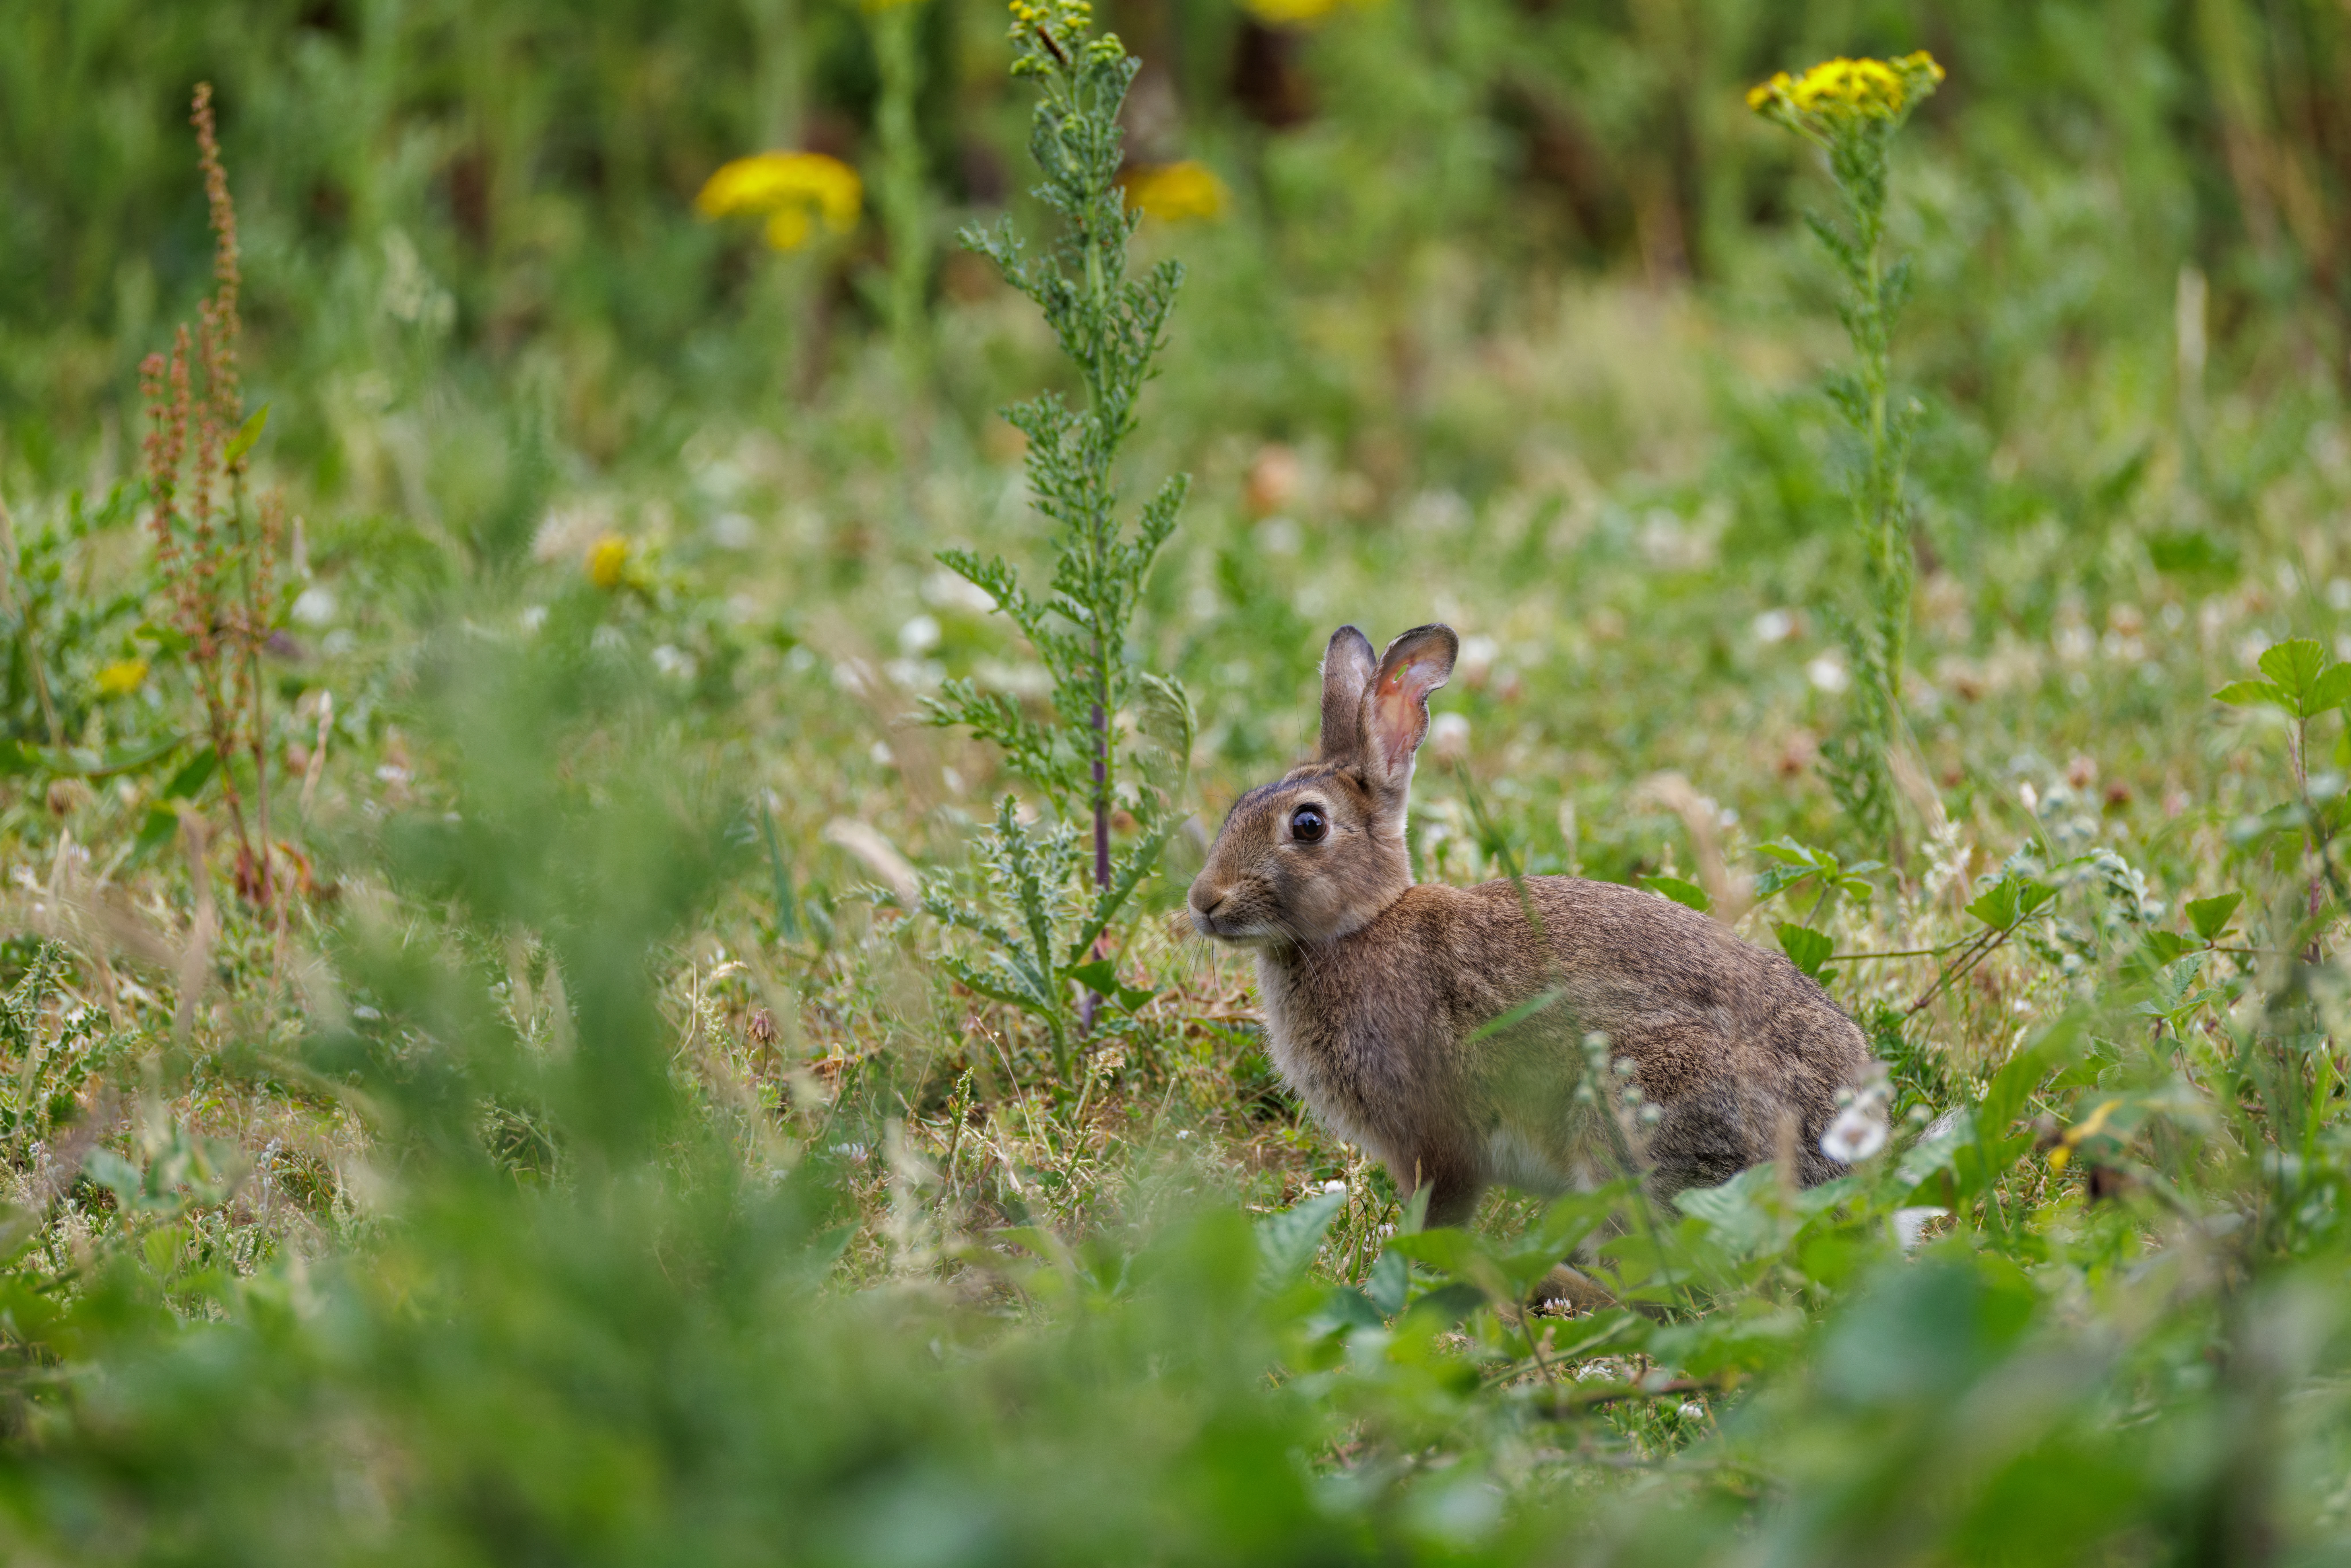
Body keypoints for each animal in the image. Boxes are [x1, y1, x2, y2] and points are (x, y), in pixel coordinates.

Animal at [1186, 622, 1881, 1247]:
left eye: (1307, 824)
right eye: (1236, 808)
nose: (1203, 901)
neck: (1364, 921)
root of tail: (1833, 1139)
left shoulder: (1434, 1138)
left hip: (1631, 1111)